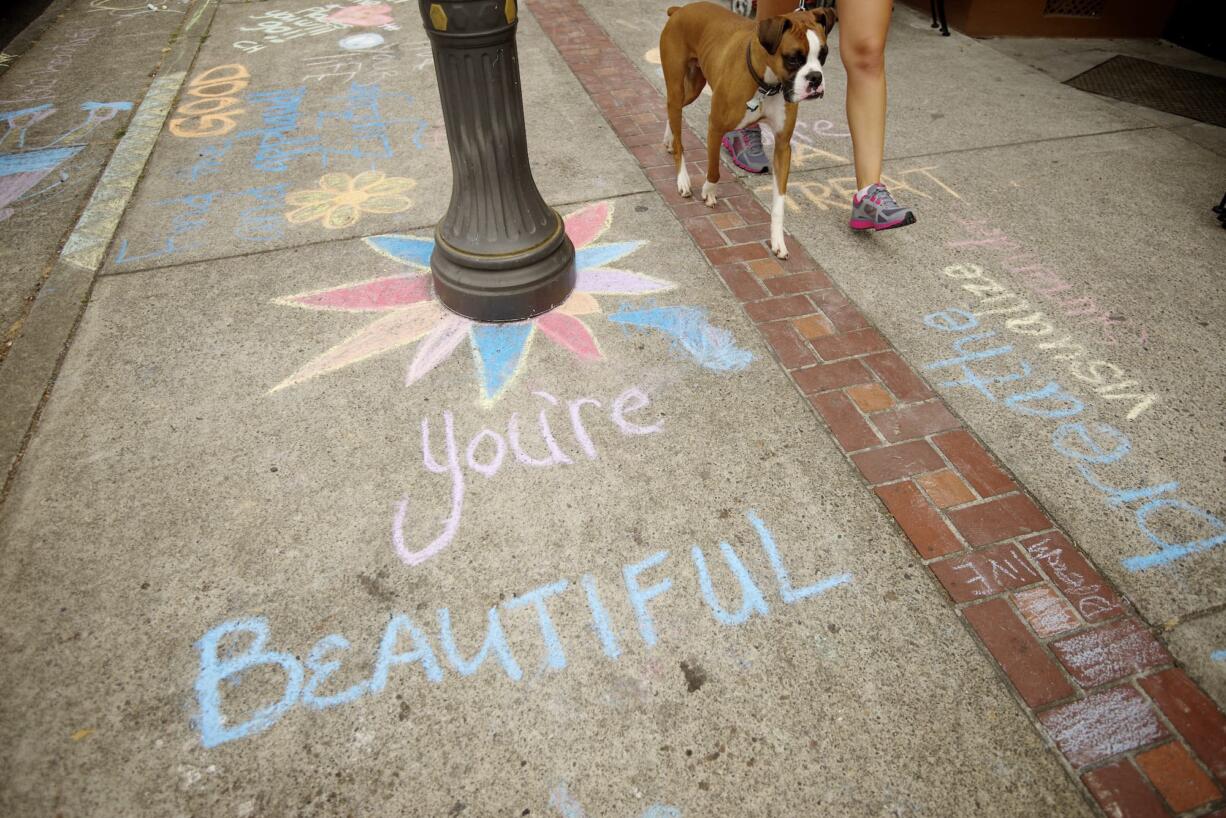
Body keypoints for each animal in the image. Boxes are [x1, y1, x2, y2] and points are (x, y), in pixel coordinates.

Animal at [662, 1, 833, 257]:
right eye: (793, 59)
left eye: (823, 55)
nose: (815, 78)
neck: (768, 83)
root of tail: (680, 10)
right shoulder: (715, 126)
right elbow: (714, 170)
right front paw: (709, 192)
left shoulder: (783, 147)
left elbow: (779, 201)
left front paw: (778, 240)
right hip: (676, 86)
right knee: (676, 120)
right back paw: (682, 178)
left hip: (692, 88)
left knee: (672, 111)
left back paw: (669, 139)